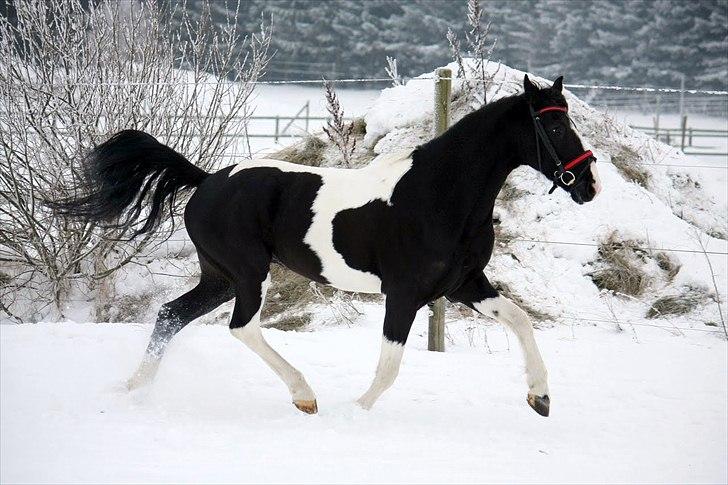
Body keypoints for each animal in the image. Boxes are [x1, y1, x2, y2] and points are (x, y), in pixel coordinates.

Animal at [52, 74, 604, 416]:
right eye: (555, 124)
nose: (588, 185)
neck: (438, 195)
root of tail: (207, 180)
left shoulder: (464, 284)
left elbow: (521, 320)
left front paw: (540, 398)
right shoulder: (405, 294)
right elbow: (389, 366)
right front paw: (353, 411)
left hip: (221, 277)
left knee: (171, 314)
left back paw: (133, 390)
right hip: (248, 274)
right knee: (241, 327)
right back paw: (305, 396)